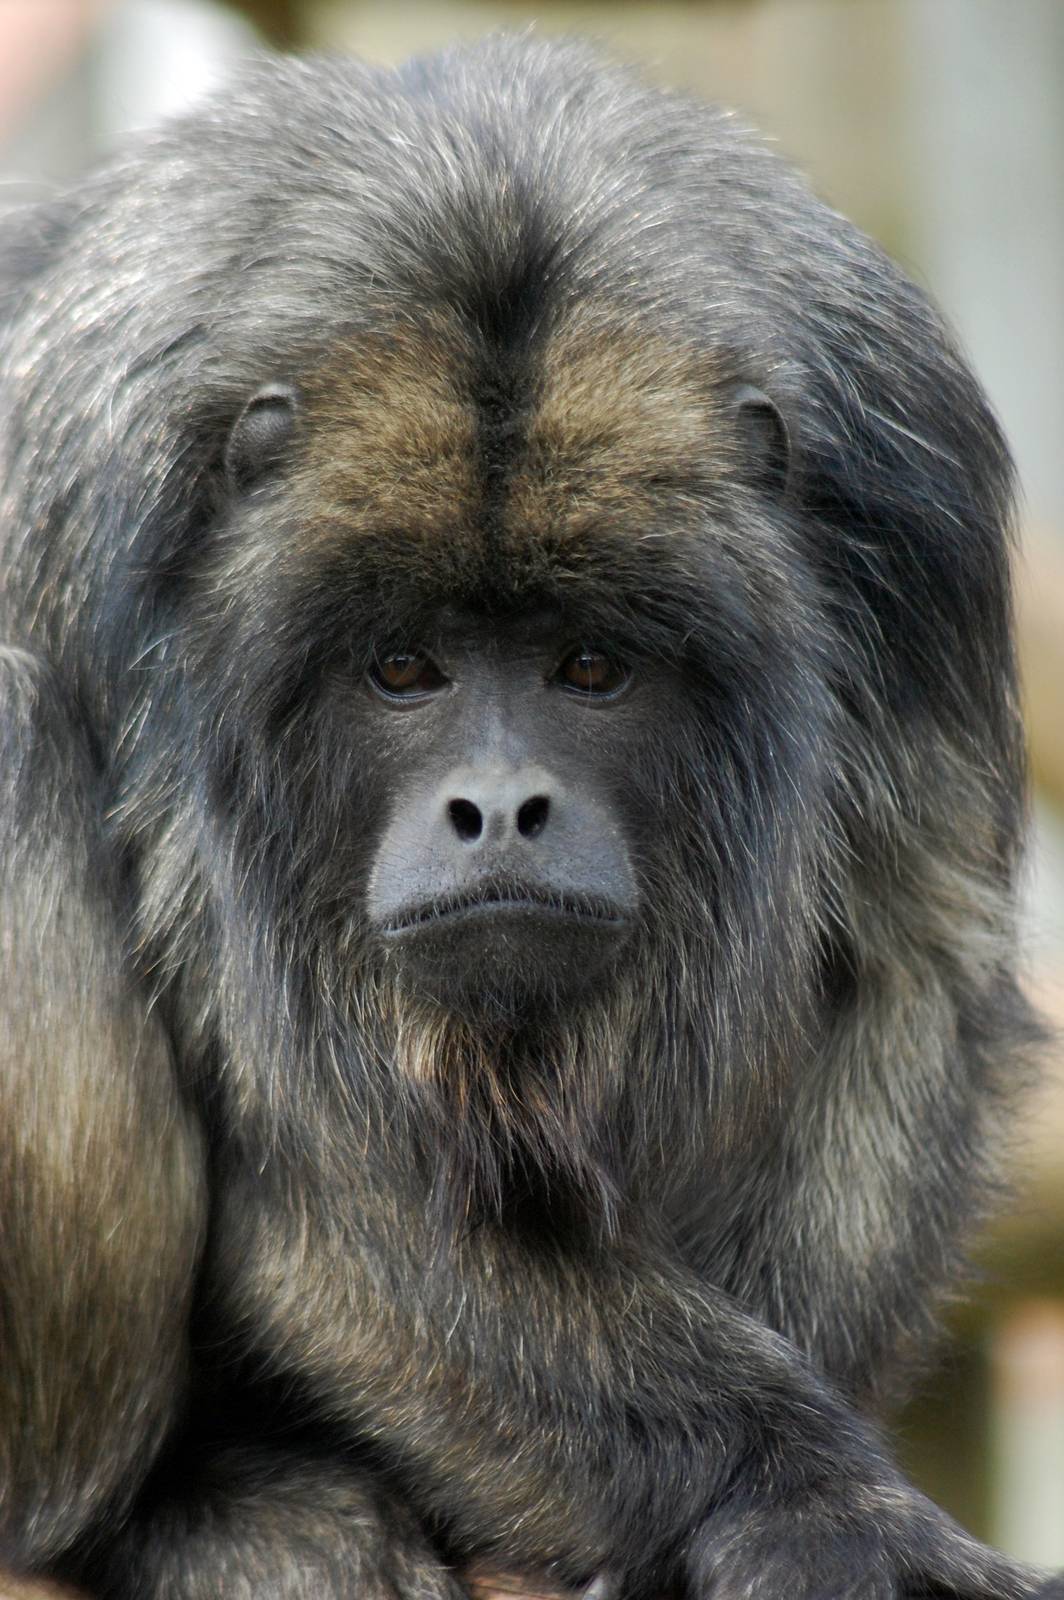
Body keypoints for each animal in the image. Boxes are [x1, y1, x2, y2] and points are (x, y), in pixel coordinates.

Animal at [1, 32, 1060, 1600]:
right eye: (401, 667)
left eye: (590, 666)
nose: (497, 807)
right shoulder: (121, 571)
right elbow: (316, 1162)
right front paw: (802, 1493)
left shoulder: (913, 524)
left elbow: (908, 976)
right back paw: (167, 1507)